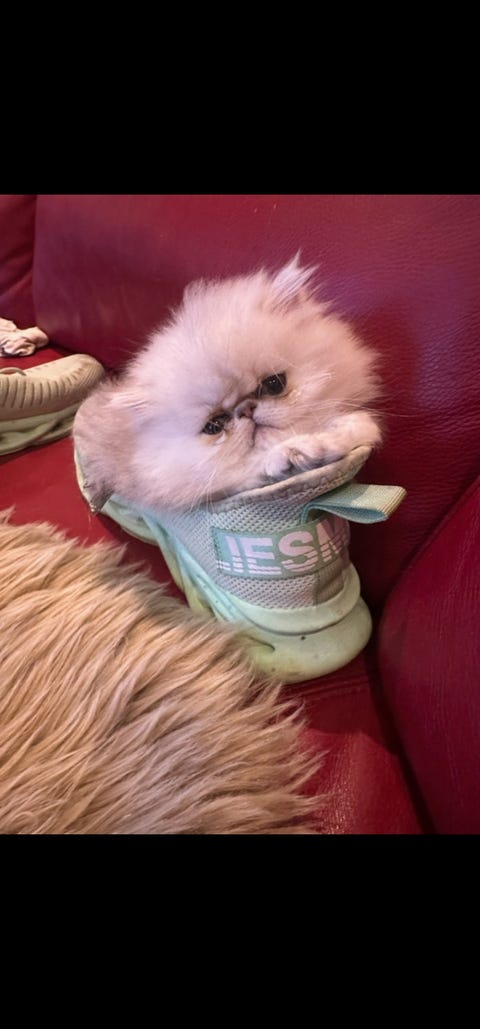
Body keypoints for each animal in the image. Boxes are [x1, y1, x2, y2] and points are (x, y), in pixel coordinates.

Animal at [73, 255, 381, 512]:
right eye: (213, 426)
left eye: (274, 384)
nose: (246, 411)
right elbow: (253, 469)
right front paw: (290, 458)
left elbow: (355, 428)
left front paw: (325, 444)